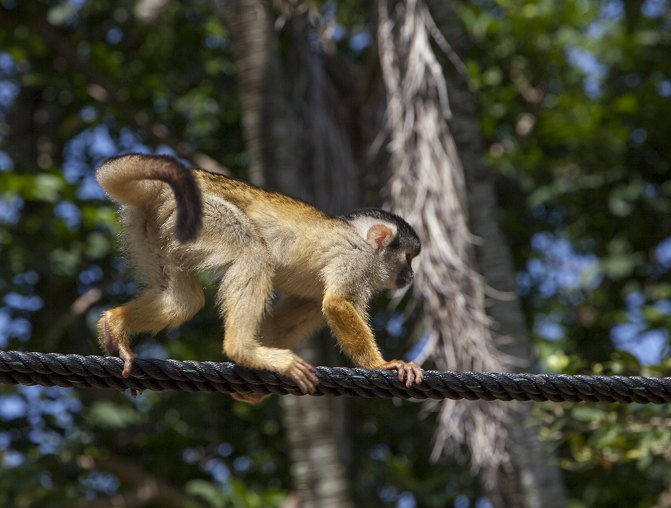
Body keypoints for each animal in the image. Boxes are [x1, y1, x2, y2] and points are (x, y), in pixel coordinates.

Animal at [96, 153, 420, 402]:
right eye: (408, 258)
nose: (411, 275)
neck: (362, 241)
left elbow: (283, 322)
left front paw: (253, 392)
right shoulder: (355, 260)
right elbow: (338, 303)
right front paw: (382, 364)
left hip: (154, 222)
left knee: (183, 301)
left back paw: (115, 325)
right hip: (200, 211)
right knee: (252, 253)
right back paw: (242, 349)